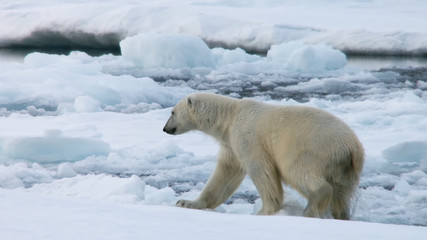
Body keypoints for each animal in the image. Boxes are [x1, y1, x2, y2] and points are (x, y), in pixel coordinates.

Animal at [164, 92, 364, 219]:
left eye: (172, 112)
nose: (165, 128)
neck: (231, 115)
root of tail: (352, 147)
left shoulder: (248, 137)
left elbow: (261, 170)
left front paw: (264, 211)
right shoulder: (231, 145)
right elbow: (225, 174)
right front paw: (186, 202)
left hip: (311, 149)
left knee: (299, 172)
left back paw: (309, 209)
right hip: (344, 168)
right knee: (341, 193)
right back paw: (341, 215)